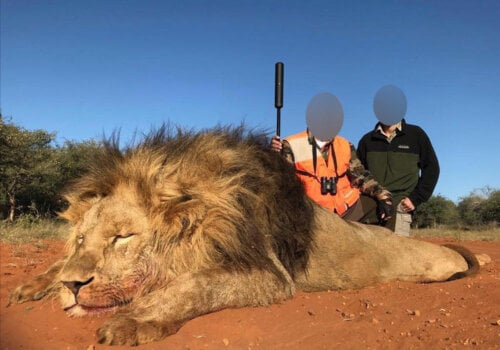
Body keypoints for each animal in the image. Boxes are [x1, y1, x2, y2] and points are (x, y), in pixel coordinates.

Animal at [9, 125, 480, 344]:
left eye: (122, 238)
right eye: (81, 239)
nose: (74, 286)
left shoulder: (272, 276)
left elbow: (196, 285)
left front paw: (135, 320)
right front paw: (36, 284)